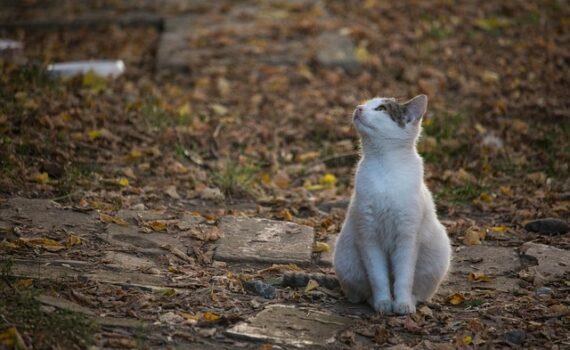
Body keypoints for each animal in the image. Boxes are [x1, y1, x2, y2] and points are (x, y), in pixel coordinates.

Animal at [330, 94, 450, 316]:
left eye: (381, 109)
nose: (358, 108)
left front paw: (402, 305)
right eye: (365, 104)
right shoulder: (369, 236)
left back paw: (410, 301)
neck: (384, 166)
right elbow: (378, 278)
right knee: (363, 292)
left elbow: (403, 278)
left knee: (419, 292)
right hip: (347, 262)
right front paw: (384, 303)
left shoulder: (407, 237)